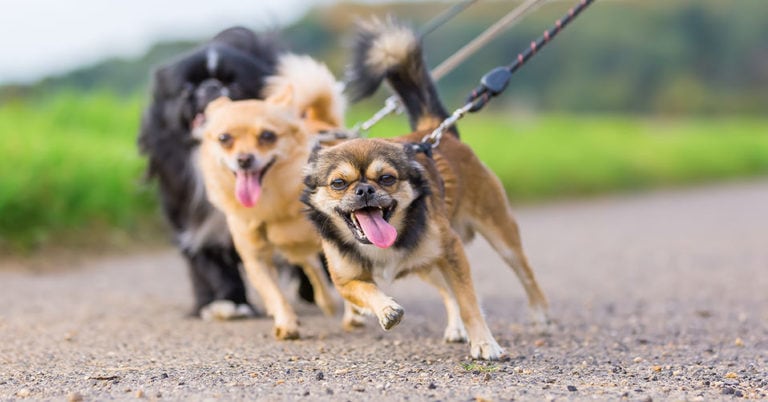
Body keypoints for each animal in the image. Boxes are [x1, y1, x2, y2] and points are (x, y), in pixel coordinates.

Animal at [196, 54, 346, 340]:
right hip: (295, 250)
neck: (272, 202)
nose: (244, 159)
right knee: (311, 266)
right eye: (224, 138)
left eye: (267, 136)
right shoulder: (255, 257)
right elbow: (273, 293)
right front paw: (287, 324)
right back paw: (327, 302)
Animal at [300, 18, 544, 360]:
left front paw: (484, 343)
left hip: (499, 235)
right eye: (338, 183)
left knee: (526, 273)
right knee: (446, 291)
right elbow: (368, 290)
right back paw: (454, 327)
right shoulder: (345, 279)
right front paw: (386, 309)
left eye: (386, 178)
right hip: (428, 265)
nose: (364, 191)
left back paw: (540, 315)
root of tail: (435, 132)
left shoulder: (452, 251)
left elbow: (470, 302)